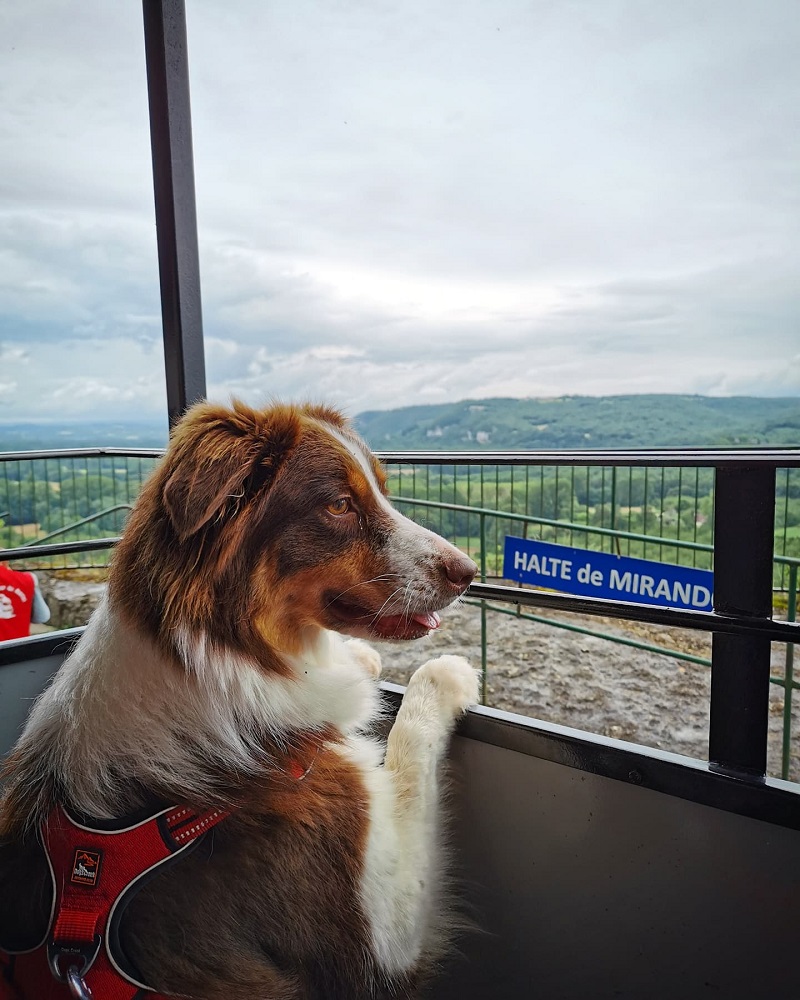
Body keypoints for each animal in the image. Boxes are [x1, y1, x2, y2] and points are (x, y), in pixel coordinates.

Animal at [0, 400, 476, 1000]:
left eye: (382, 491)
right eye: (340, 505)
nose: (469, 571)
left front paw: (360, 661)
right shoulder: (378, 943)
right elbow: (411, 754)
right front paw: (444, 676)